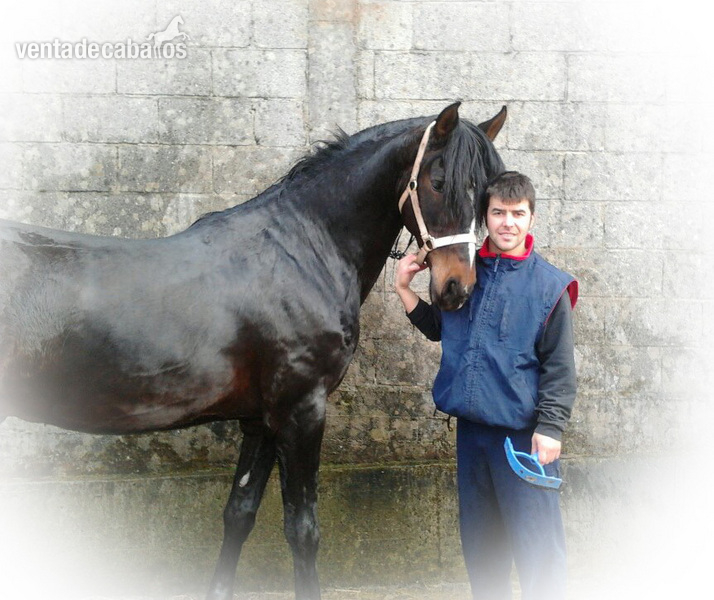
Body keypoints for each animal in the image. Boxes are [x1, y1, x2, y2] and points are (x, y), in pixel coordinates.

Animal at [0, 102, 506, 600]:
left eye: (485, 193)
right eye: (437, 182)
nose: (456, 289)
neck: (302, 250)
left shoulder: (260, 420)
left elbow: (239, 513)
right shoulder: (301, 410)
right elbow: (302, 531)